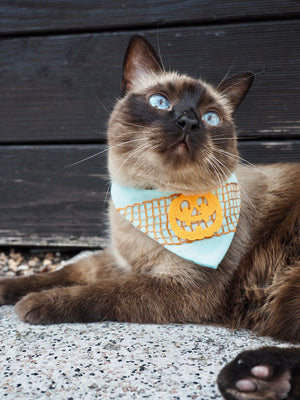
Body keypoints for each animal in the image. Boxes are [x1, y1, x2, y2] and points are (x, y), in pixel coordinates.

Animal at [0, 36, 298, 398]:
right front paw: (9, 288)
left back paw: (256, 377)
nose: (188, 122)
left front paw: (34, 304)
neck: (150, 198)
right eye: (160, 102)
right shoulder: (117, 259)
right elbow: (65, 272)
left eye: (211, 118)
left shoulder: (184, 287)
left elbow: (104, 292)